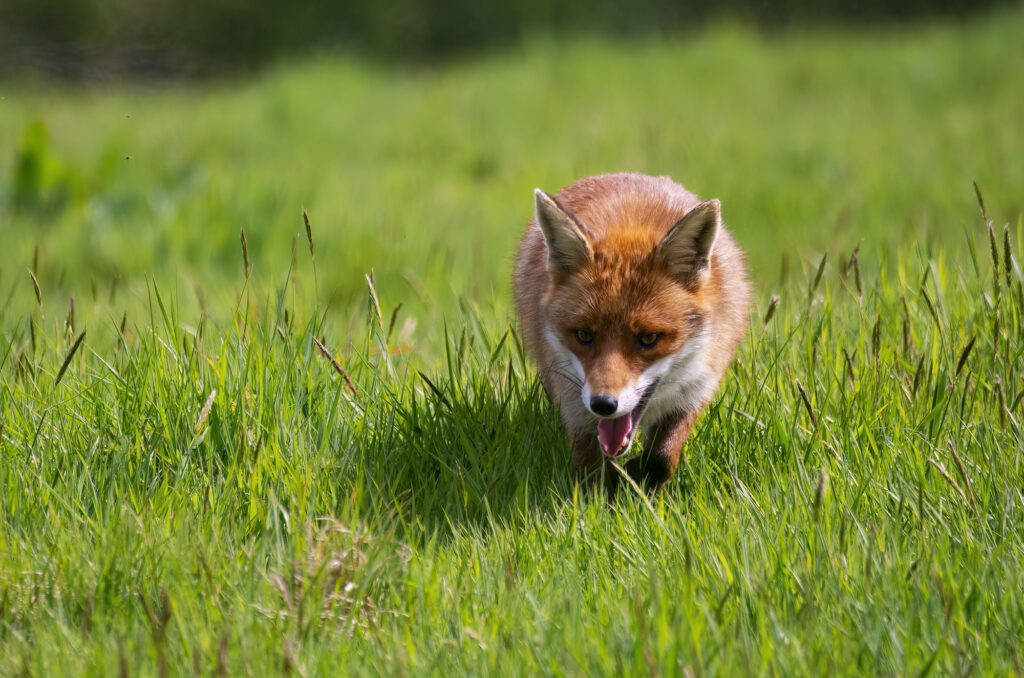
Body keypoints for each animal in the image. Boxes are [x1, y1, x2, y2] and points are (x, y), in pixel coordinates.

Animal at [513, 173, 750, 492]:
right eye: (583, 335)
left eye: (648, 339)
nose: (603, 404)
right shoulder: (573, 402)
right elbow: (590, 472)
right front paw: (600, 498)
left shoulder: (698, 385)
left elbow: (662, 457)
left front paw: (641, 478)